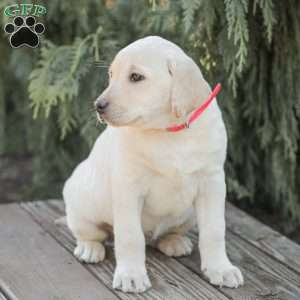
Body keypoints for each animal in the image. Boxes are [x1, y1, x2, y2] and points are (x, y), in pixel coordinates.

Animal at [63, 35, 244, 292]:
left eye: (136, 77)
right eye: (111, 75)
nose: (98, 105)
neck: (168, 131)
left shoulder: (213, 183)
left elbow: (214, 230)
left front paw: (221, 268)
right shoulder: (128, 187)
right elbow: (130, 236)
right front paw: (131, 274)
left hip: (187, 215)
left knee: (166, 234)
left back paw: (174, 241)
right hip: (81, 201)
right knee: (91, 232)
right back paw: (89, 248)